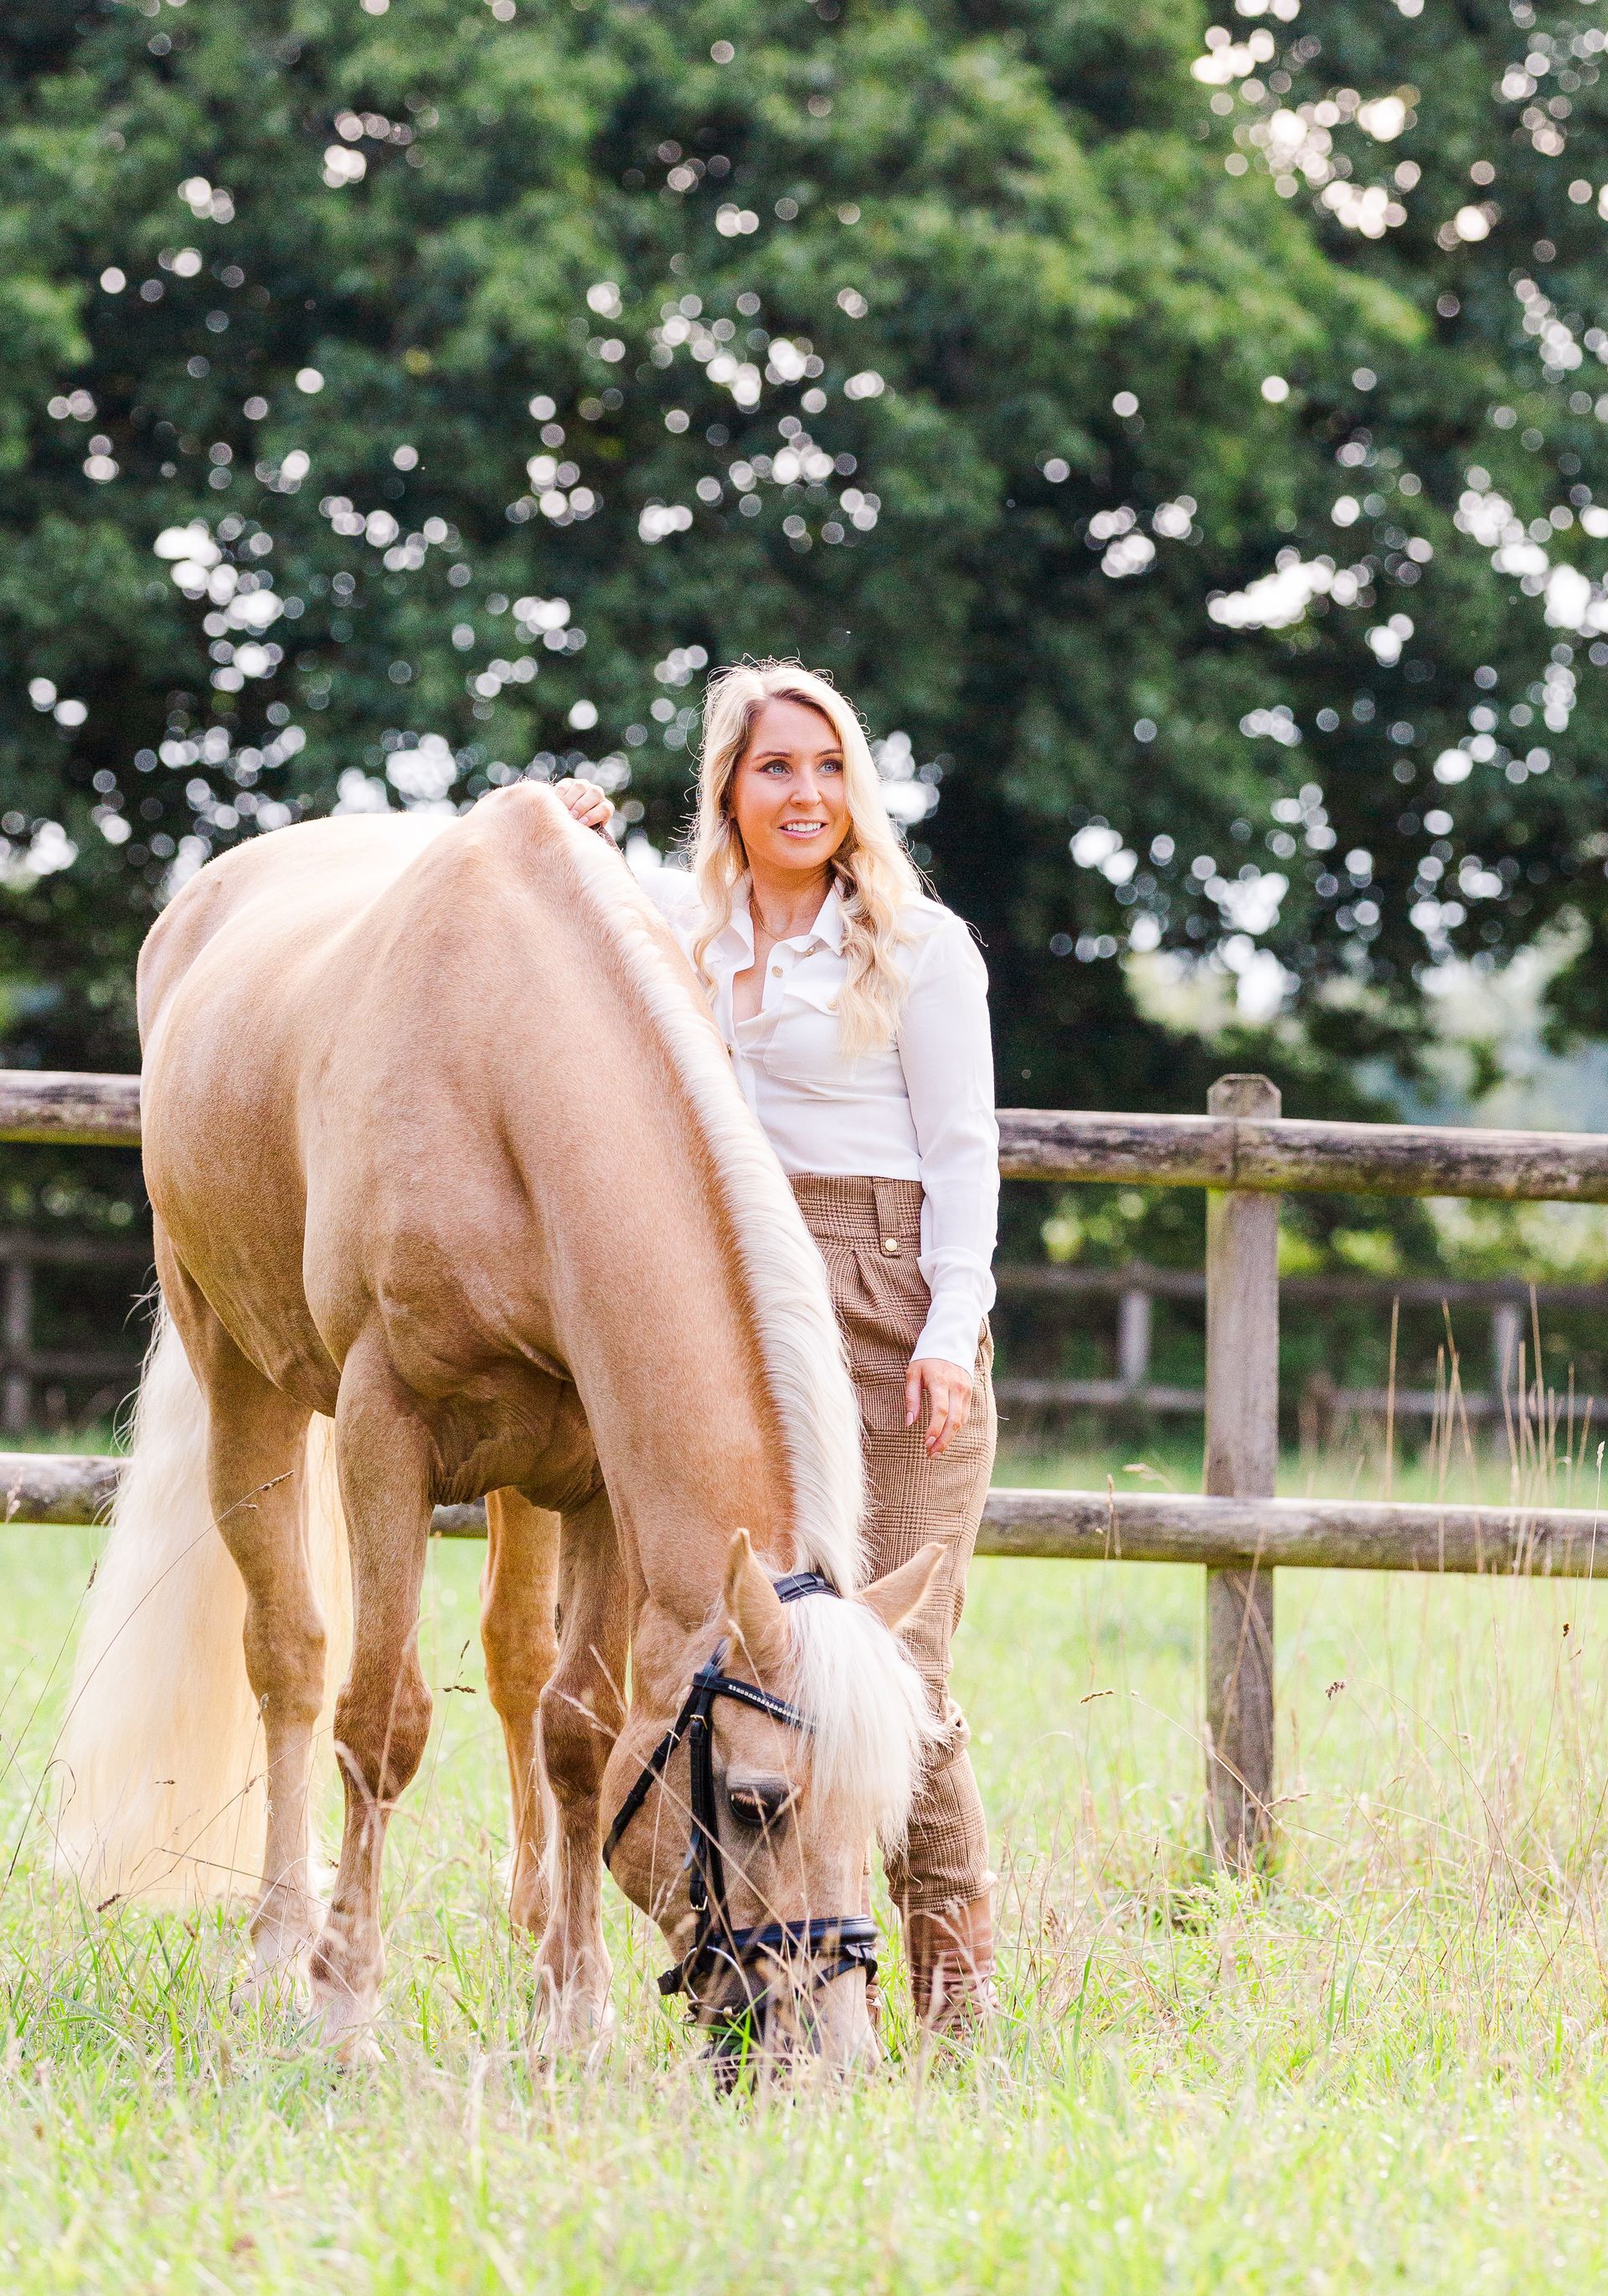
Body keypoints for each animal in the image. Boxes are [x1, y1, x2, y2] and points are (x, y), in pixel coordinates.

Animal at [53, 785, 946, 2067]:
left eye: (880, 1807)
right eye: (752, 1803)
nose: (828, 2058)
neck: (513, 1068)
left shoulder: (605, 1480)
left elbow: (581, 1728)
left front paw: (571, 2008)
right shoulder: (383, 1435)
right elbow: (379, 1720)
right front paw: (344, 2002)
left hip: (527, 1474)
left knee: (519, 1662)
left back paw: (526, 1919)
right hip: (244, 1387)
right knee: (291, 1659)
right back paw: (277, 1943)